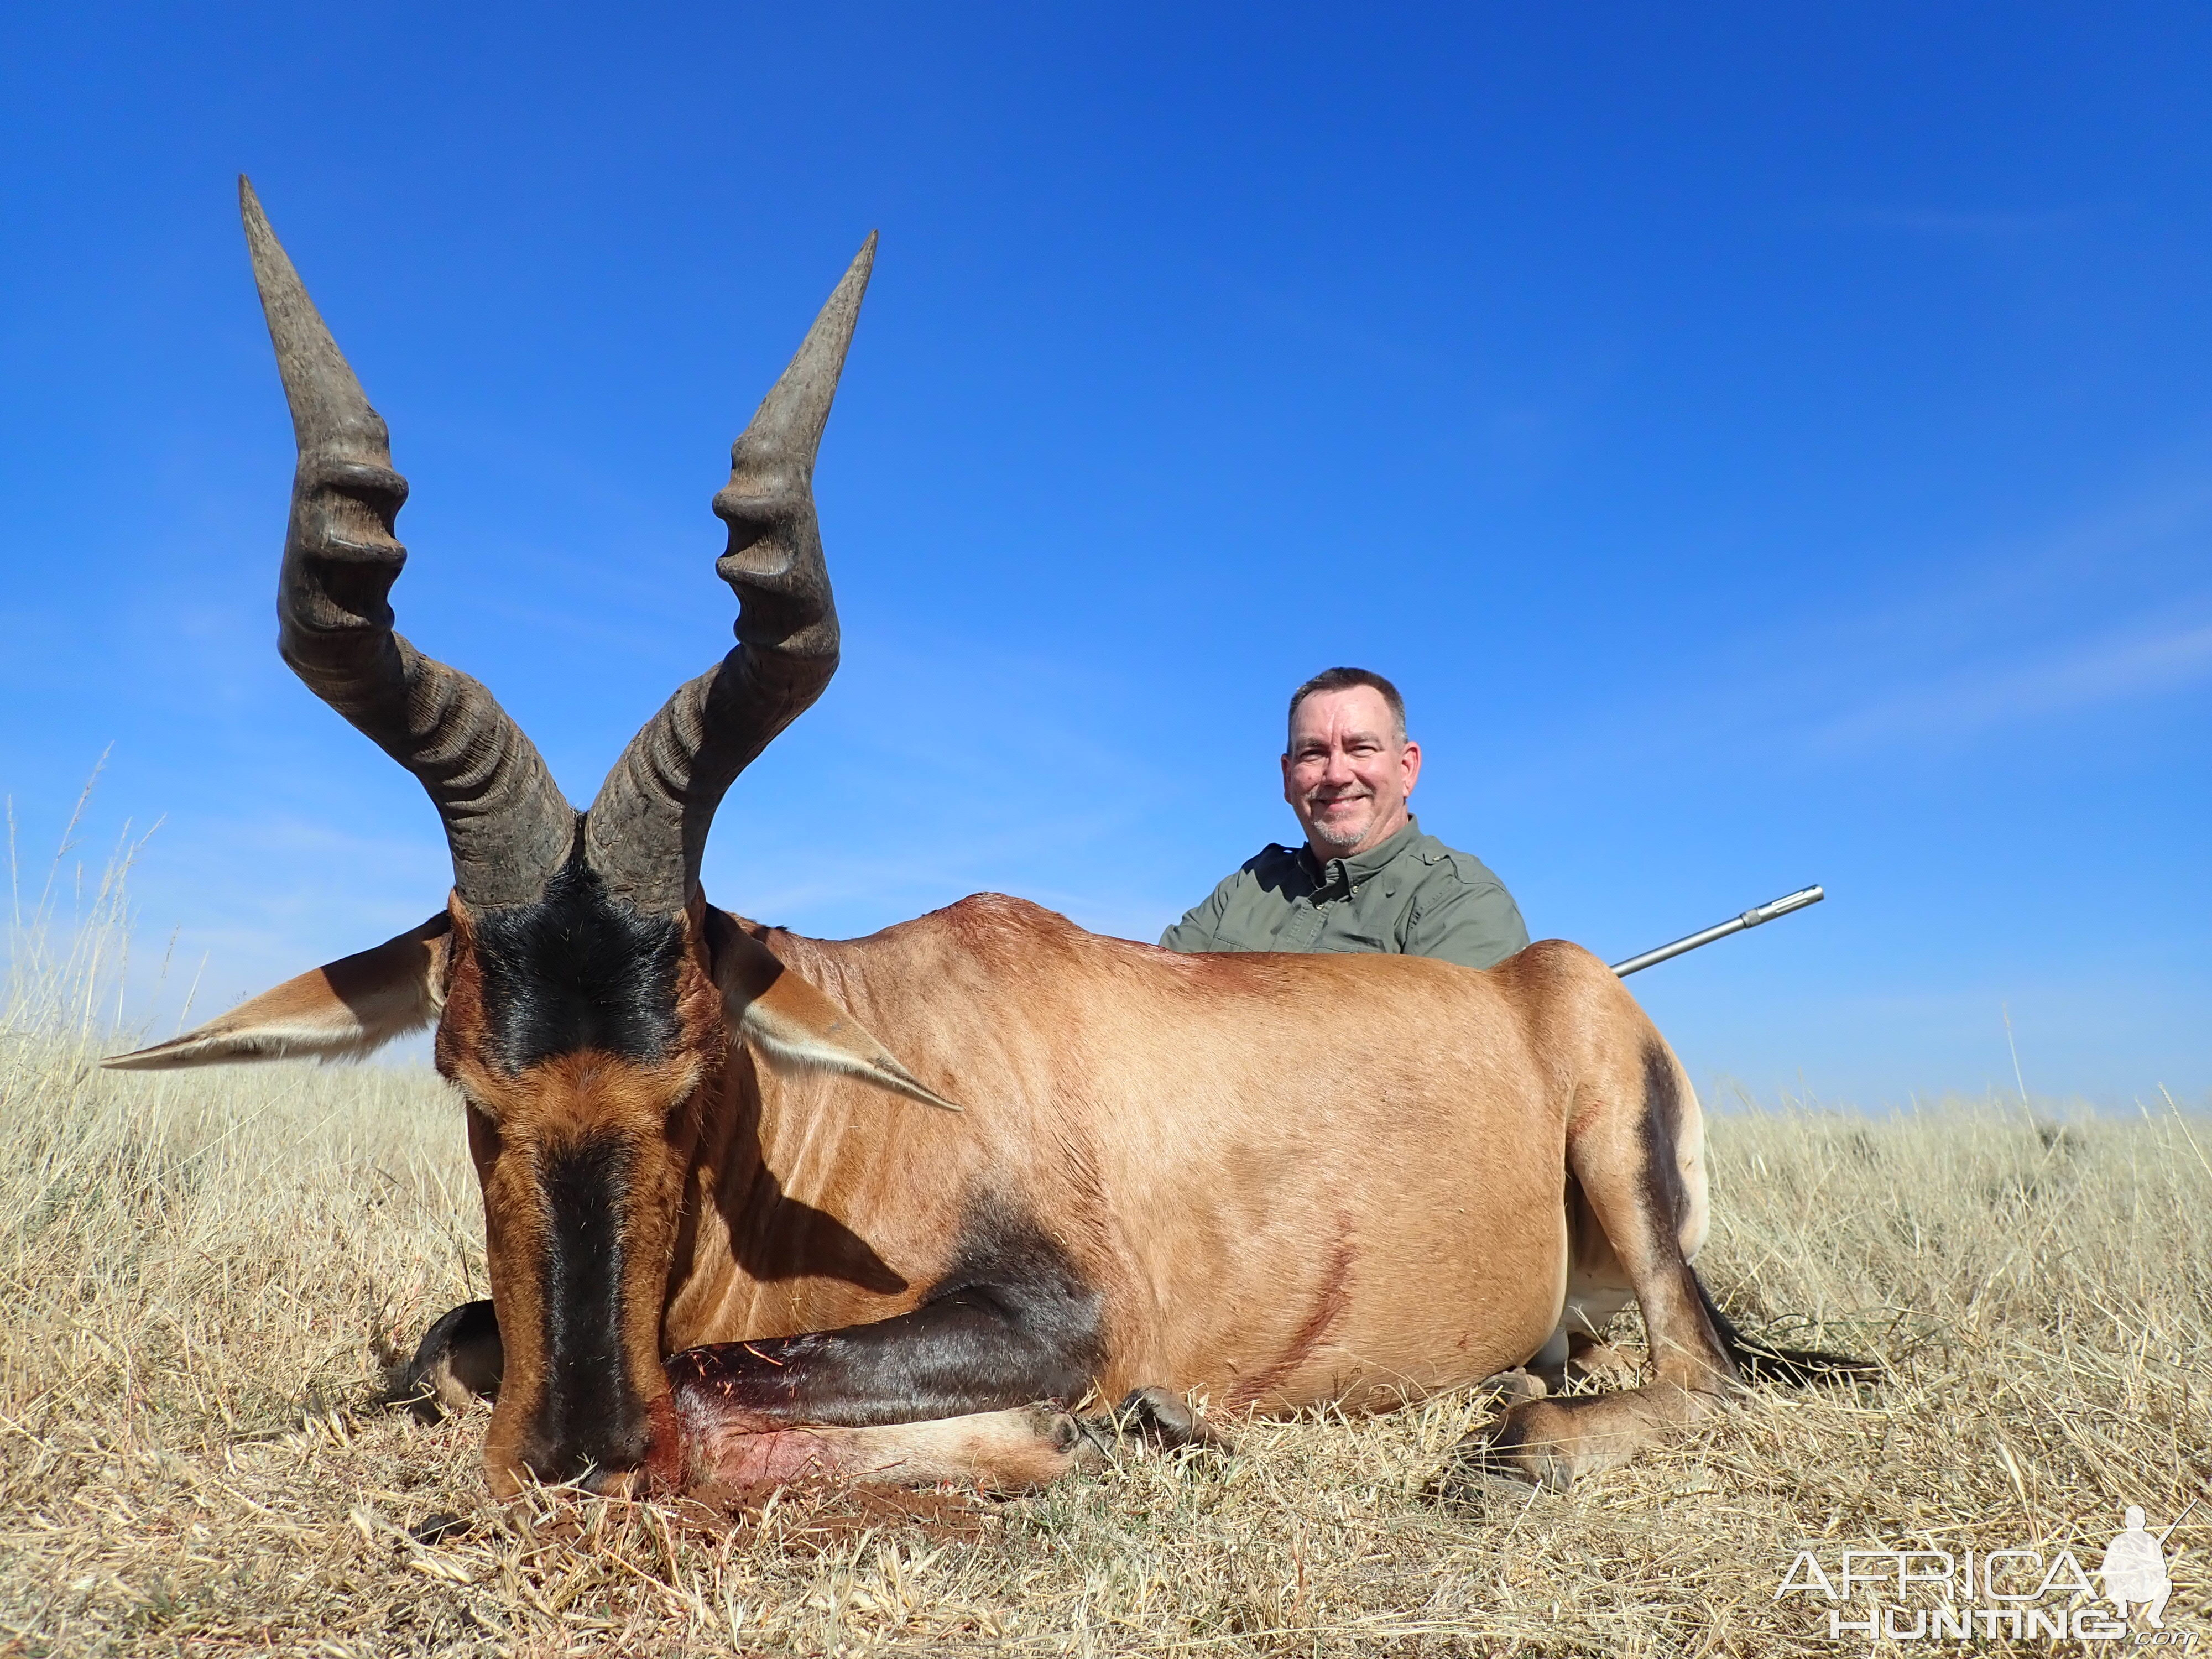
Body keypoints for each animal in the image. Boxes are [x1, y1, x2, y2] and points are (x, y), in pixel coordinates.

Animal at [104, 185, 1867, 1504]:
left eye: (694, 1068)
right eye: (468, 1079)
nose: (571, 1459)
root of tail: (1541, 985)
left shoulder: (1056, 1305)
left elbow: (715, 1383)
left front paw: (1110, 1425)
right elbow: (447, 1342)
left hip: (1625, 1167)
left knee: (1709, 1372)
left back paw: (1511, 1442)